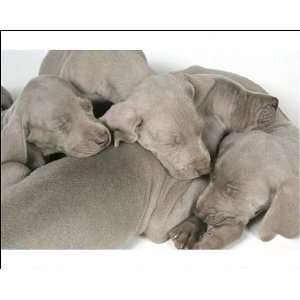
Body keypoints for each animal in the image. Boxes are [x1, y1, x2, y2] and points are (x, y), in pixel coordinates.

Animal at [169, 129, 298, 248]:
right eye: (213, 176)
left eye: (232, 192)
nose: (198, 212)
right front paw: (189, 228)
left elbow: (234, 229)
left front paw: (208, 242)